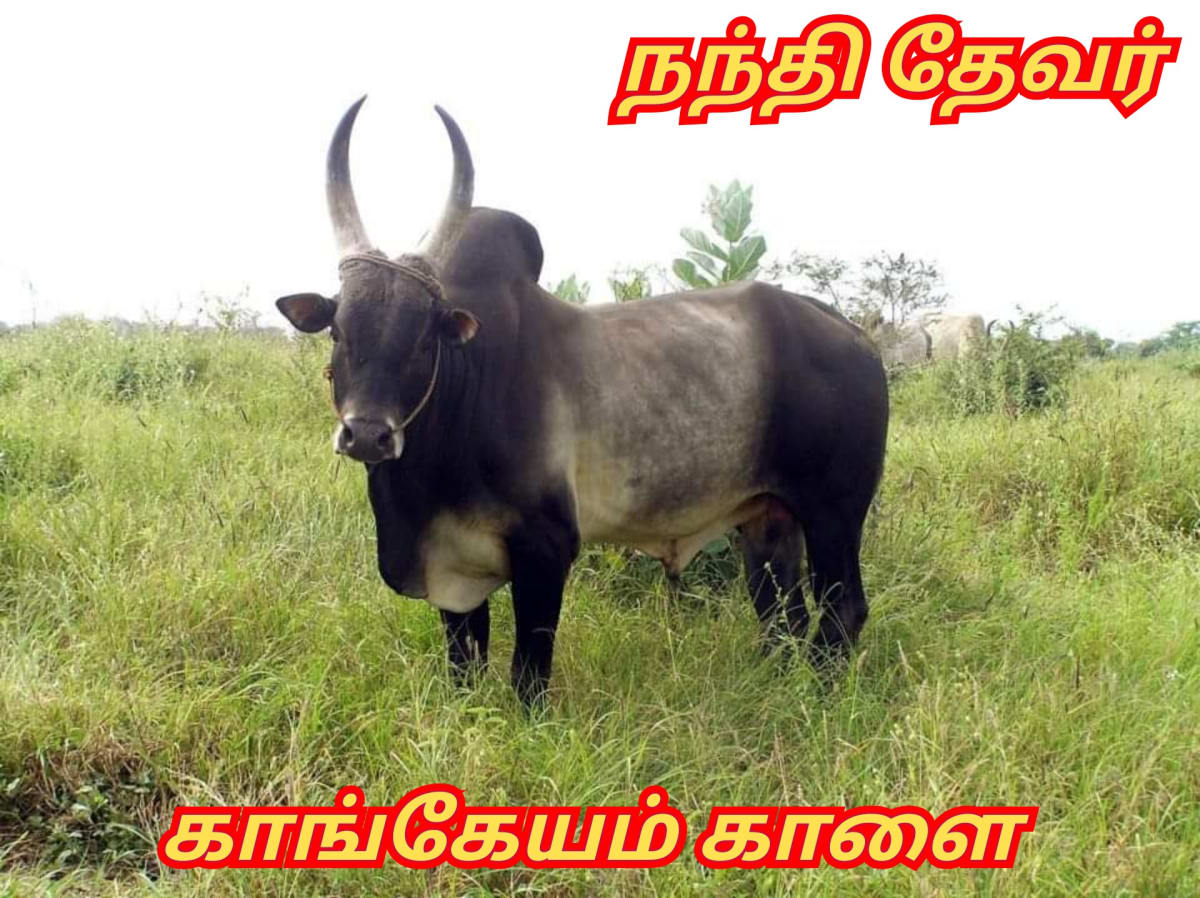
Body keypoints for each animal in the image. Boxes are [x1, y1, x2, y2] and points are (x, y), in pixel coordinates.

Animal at [275, 98, 889, 705]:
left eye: (425, 339)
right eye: (338, 332)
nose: (367, 434)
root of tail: (855, 336)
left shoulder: (545, 550)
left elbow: (528, 677)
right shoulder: (454, 575)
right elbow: (463, 668)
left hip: (835, 511)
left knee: (843, 609)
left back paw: (819, 699)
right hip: (768, 520)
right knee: (782, 616)